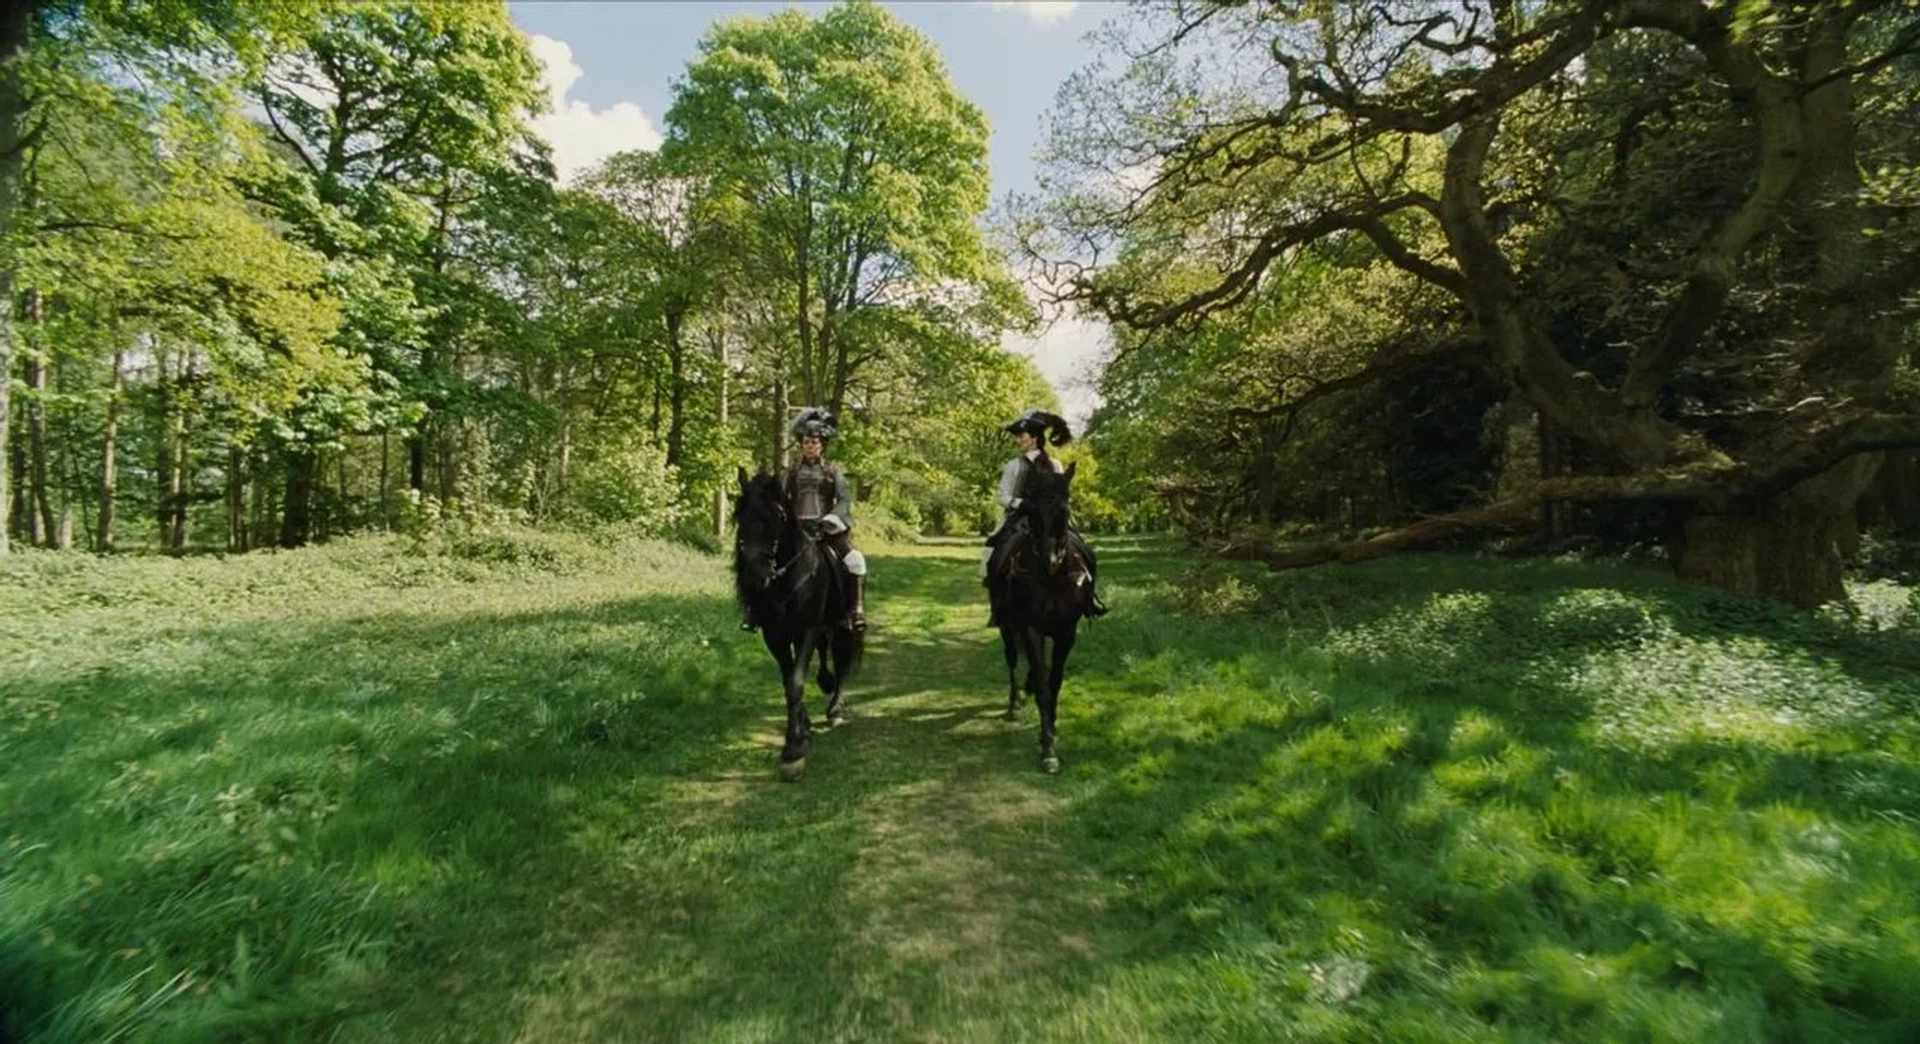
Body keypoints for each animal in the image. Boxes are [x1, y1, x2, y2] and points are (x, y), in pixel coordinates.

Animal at [725, 468, 864, 779]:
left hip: (842, 624)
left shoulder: (807, 631)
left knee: (842, 661)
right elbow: (788, 682)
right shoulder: (775, 636)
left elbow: (797, 682)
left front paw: (793, 751)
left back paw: (836, 709)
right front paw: (802, 730)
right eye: (739, 516)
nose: (754, 577)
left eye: (777, 516)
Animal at [990, 460, 1098, 771]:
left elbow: (1054, 681)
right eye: (1033, 509)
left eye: (1065, 510)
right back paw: (1014, 703)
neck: (1052, 579)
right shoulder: (1030, 628)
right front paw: (1047, 746)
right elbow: (1041, 684)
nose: (1049, 561)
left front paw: (1052, 728)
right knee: (1012, 658)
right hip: (1006, 625)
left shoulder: (1065, 632)